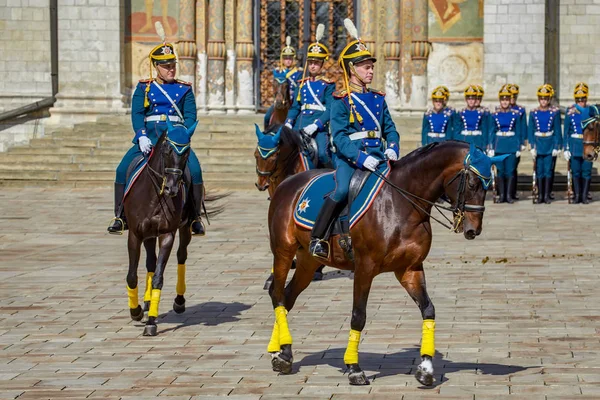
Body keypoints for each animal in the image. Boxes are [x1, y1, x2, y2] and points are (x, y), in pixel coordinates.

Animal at [123, 120, 200, 336]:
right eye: (167, 149)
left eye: (187, 151)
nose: (172, 188)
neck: (155, 195)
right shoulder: (135, 234)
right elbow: (132, 276)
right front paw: (136, 311)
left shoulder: (167, 235)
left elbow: (158, 277)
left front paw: (151, 321)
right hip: (148, 235)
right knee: (150, 261)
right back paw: (146, 302)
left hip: (184, 229)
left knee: (181, 256)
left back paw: (178, 302)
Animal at [264, 141, 494, 388]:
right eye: (472, 183)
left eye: (488, 185)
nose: (473, 229)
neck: (401, 203)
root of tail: (287, 183)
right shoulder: (364, 268)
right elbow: (358, 315)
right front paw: (354, 368)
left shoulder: (410, 269)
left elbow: (428, 310)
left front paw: (425, 367)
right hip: (284, 251)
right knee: (277, 294)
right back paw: (282, 351)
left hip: (308, 262)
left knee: (287, 297)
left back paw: (283, 353)